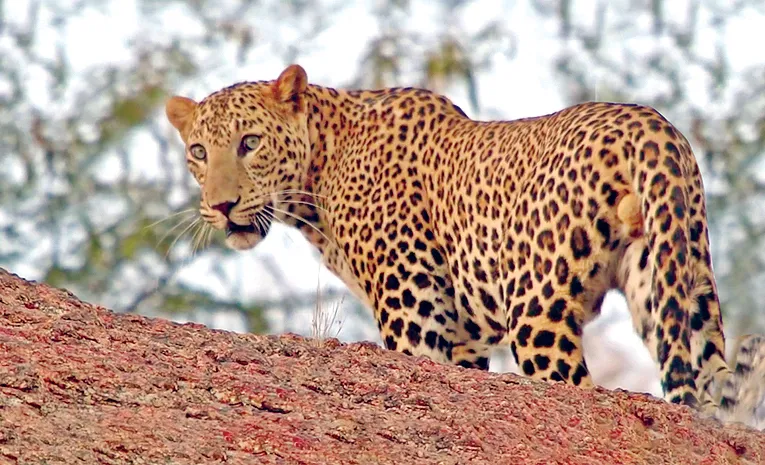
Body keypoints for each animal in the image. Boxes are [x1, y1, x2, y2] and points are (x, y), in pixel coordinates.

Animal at [165, 64, 765, 425]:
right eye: (198, 152)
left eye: (250, 143)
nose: (220, 206)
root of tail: (649, 123)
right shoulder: (464, 340)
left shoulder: (414, 319)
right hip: (677, 277)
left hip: (539, 313)